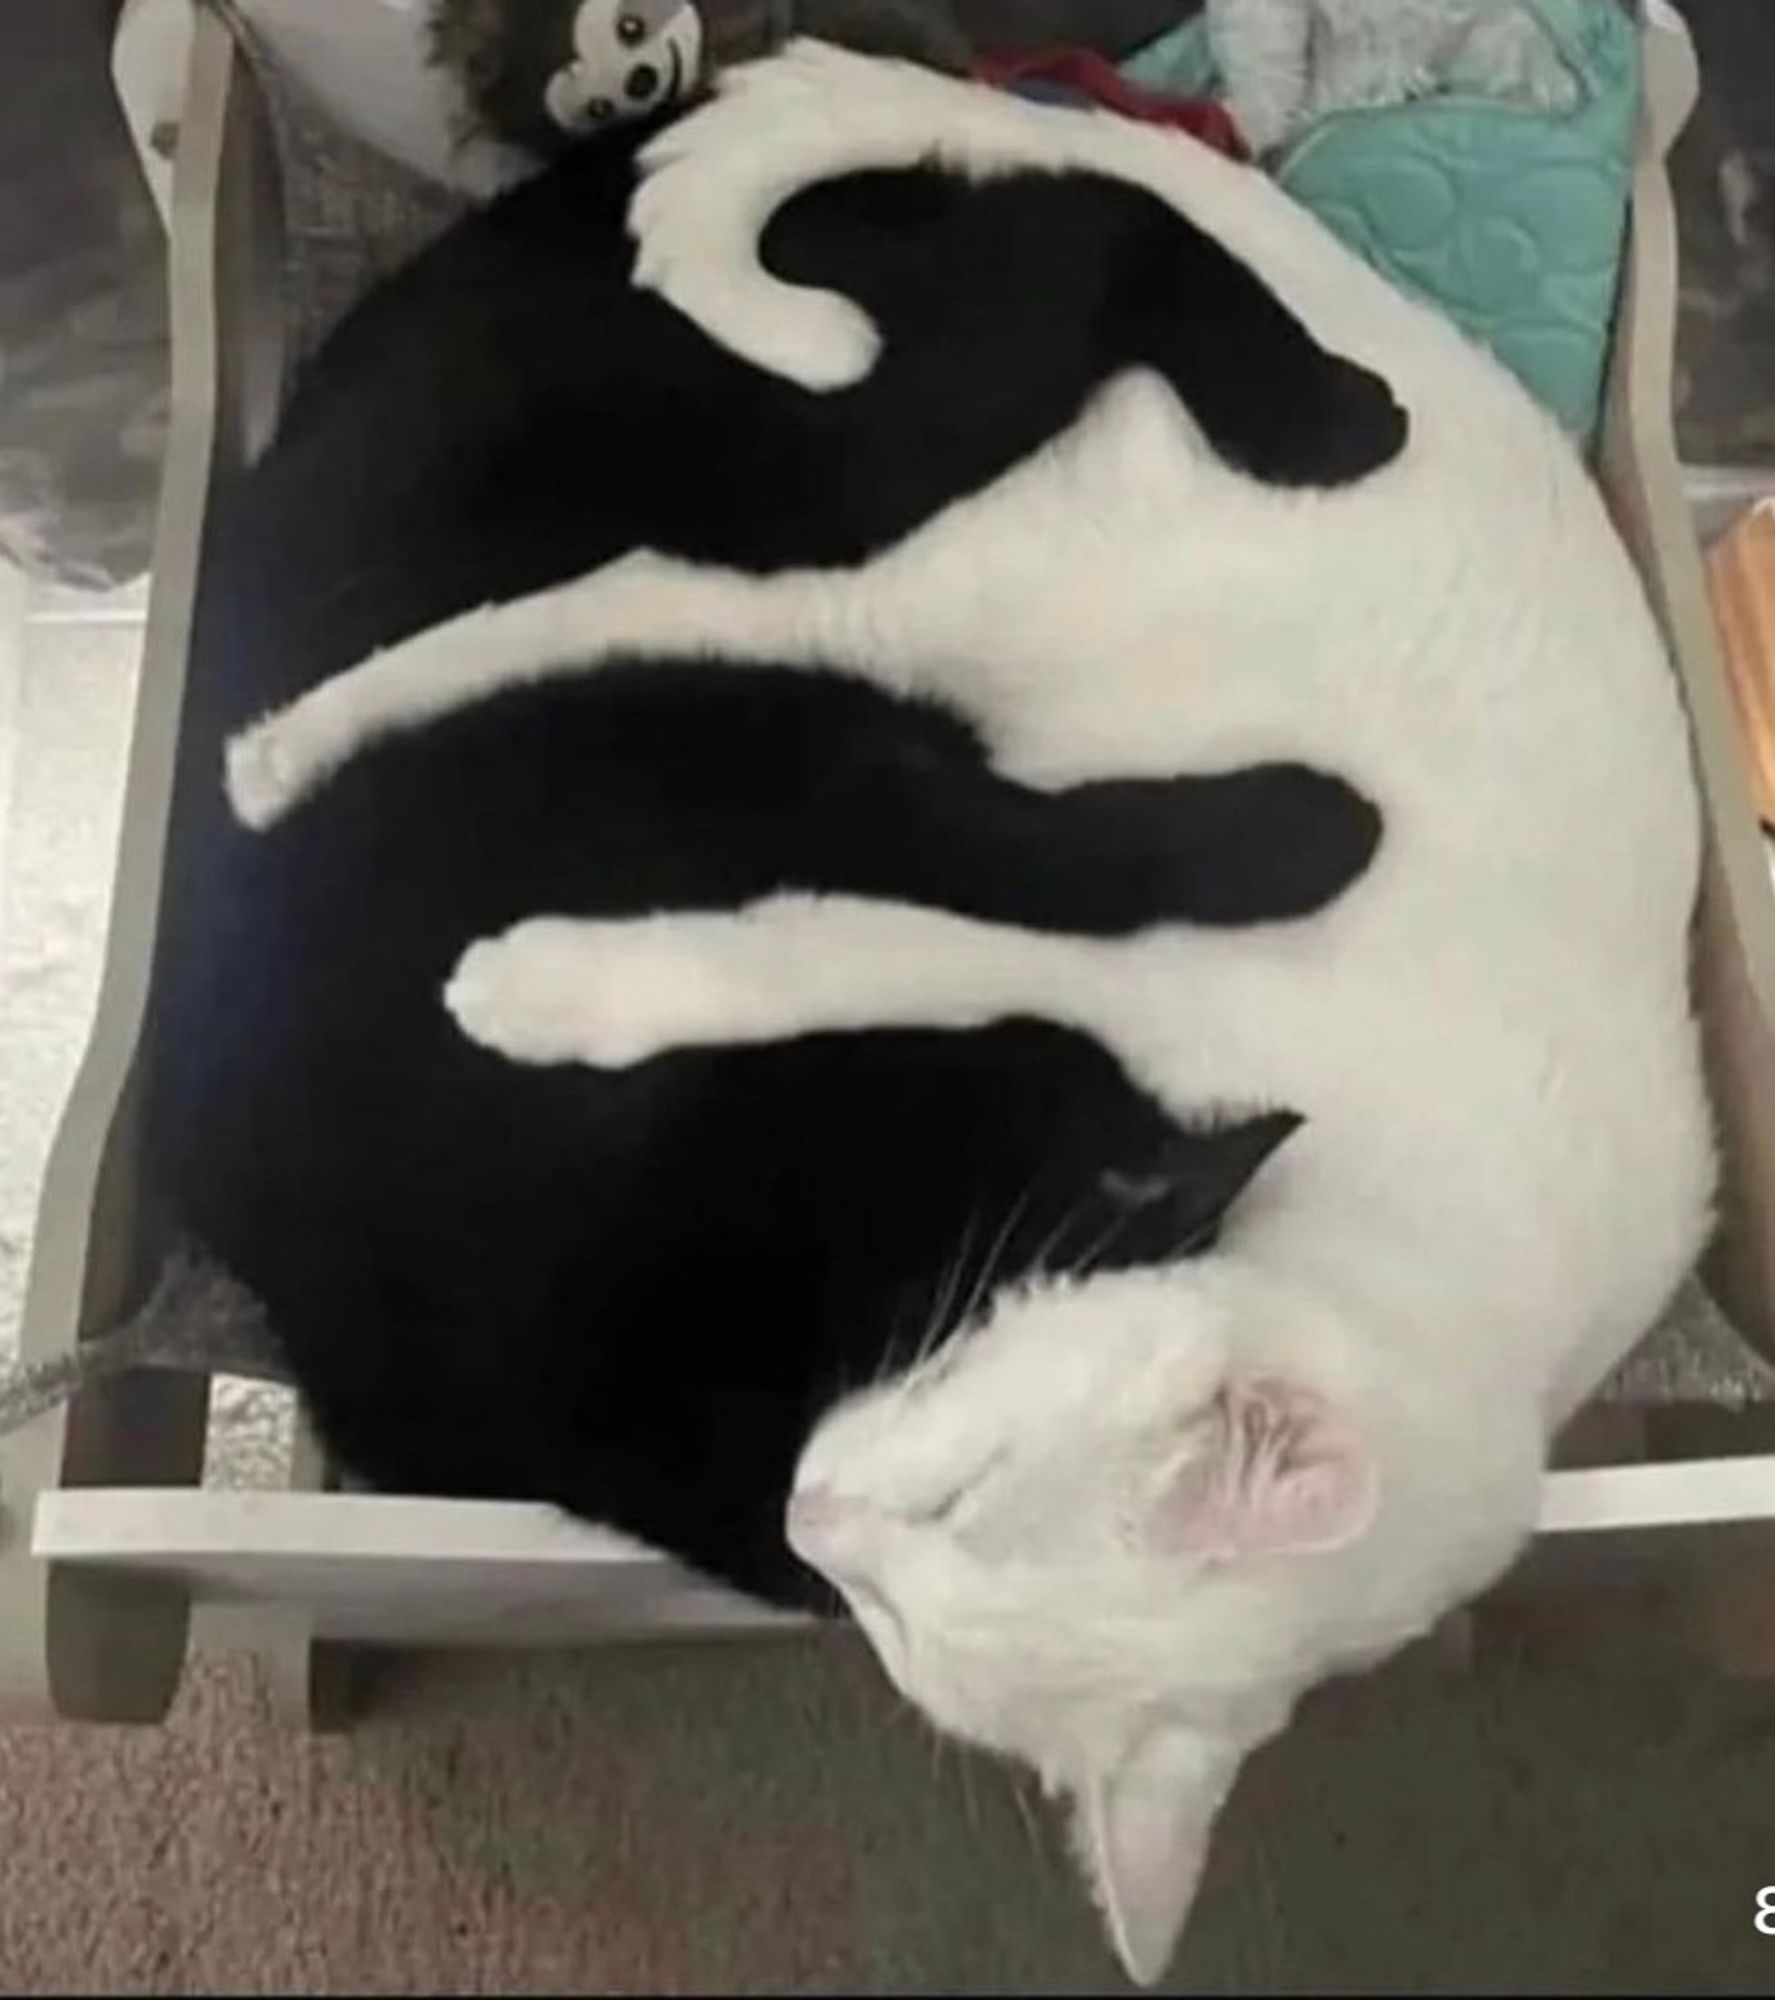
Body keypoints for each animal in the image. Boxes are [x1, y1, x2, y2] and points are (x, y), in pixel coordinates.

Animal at [218, 47, 1703, 1984]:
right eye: (956, 1492)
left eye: (897, 1617)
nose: (807, 1508)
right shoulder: (1093, 956)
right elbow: (800, 945)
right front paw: (538, 989)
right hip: (945, 558)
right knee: (648, 593)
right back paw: (291, 747)